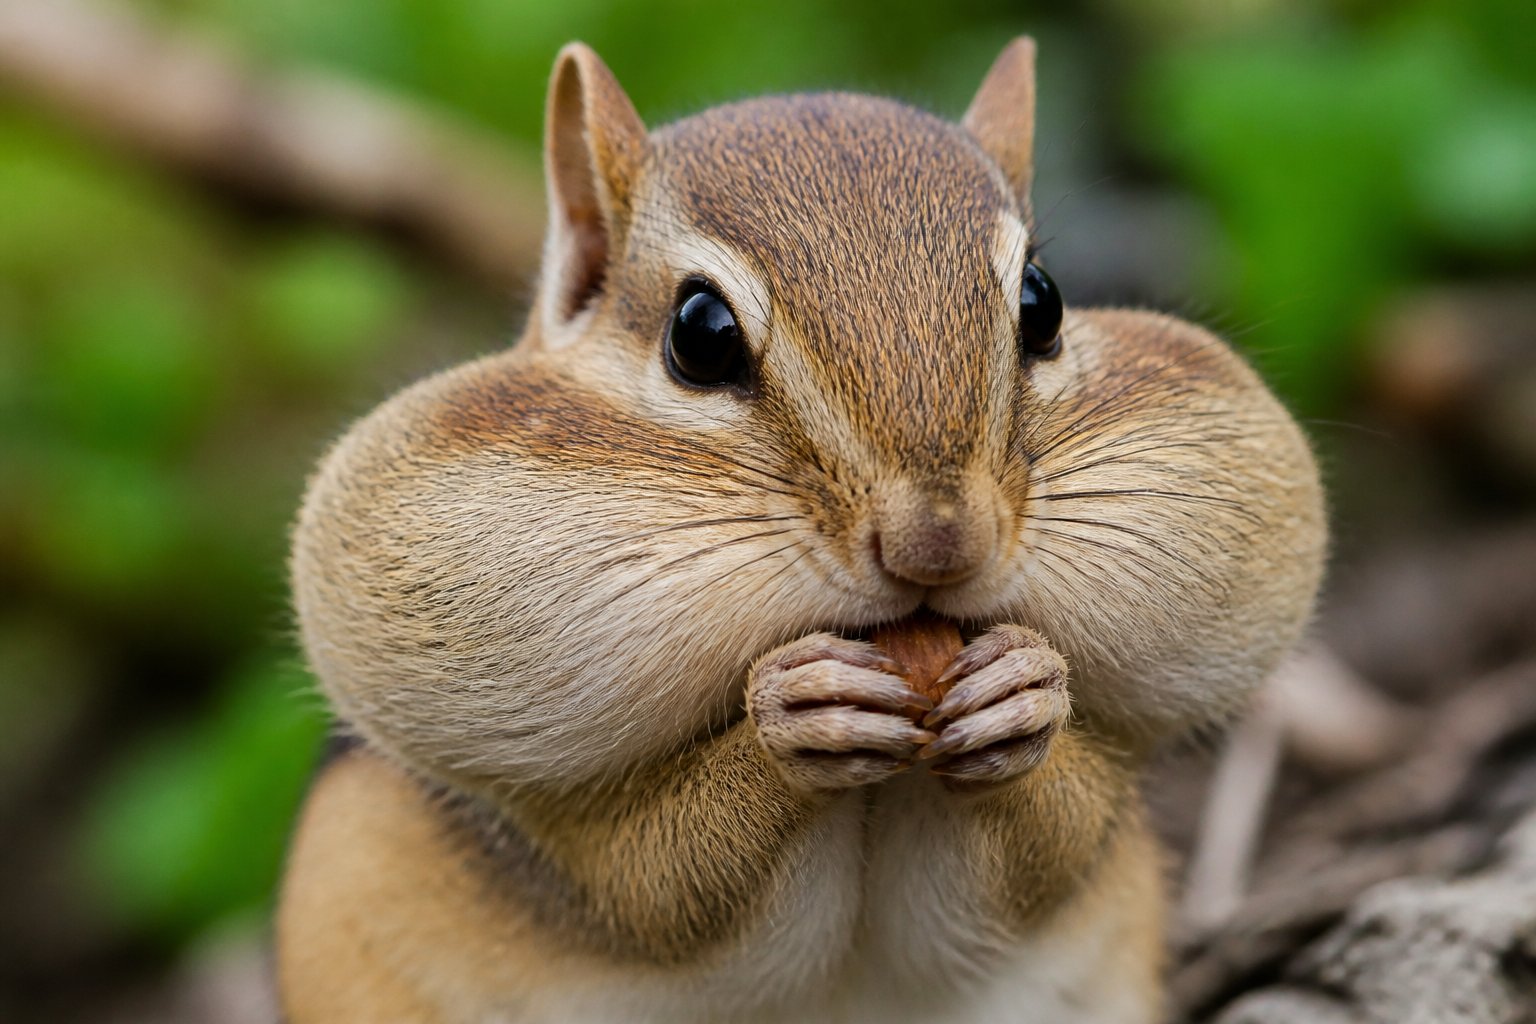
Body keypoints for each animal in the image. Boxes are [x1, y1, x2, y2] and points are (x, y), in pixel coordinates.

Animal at [277, 37, 1326, 1024]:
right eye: (699, 333)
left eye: (1043, 302)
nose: (937, 540)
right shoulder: (563, 849)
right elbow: (655, 882)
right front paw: (790, 717)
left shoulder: (1093, 829)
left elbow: (1056, 843)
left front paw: (1025, 692)